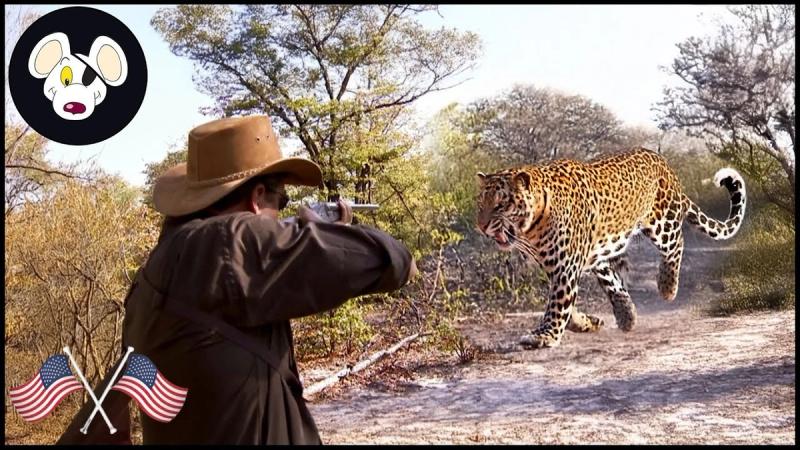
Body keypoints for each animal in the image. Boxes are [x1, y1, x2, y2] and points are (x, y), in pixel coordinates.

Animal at [475, 147, 746, 349]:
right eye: (480, 204)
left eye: (501, 205)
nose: (481, 226)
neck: (531, 230)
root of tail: (664, 163)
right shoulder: (560, 264)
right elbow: (575, 300)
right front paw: (587, 322)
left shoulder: (565, 267)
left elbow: (558, 303)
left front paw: (544, 335)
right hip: (603, 248)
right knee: (613, 280)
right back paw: (627, 316)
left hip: (661, 222)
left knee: (676, 243)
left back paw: (667, 286)